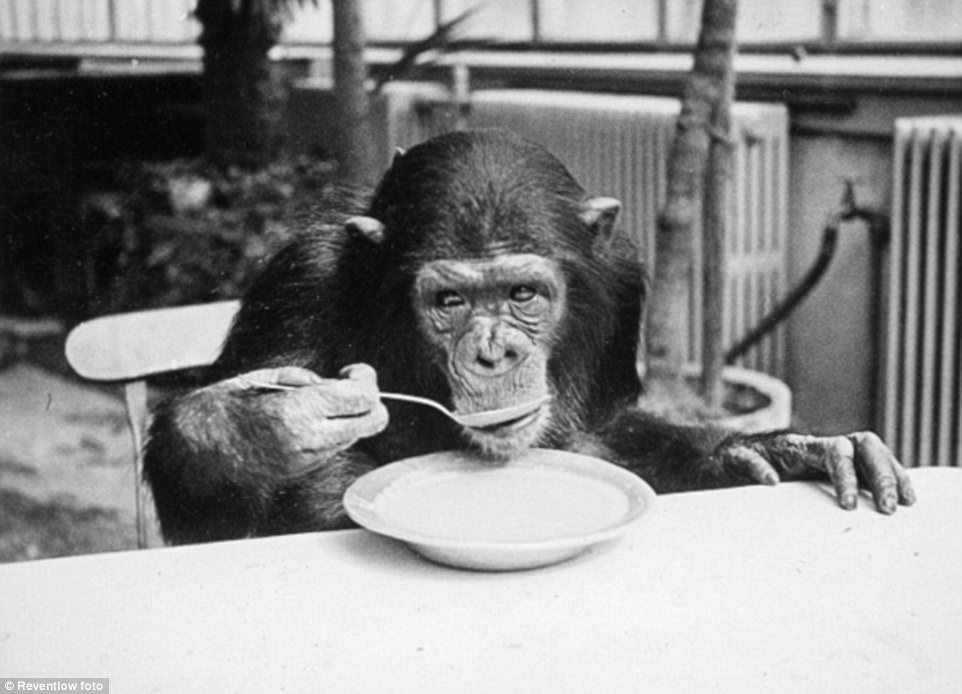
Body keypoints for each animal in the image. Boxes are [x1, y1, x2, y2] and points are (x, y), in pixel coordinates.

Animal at [143, 129, 914, 545]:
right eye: (449, 301)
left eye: (522, 295)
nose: (496, 352)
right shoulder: (298, 281)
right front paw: (252, 427)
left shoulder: (623, 278)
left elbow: (602, 428)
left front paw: (773, 449)